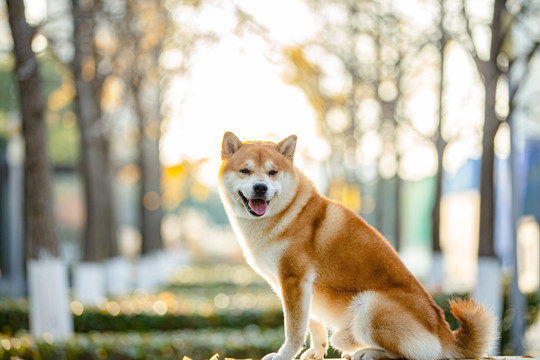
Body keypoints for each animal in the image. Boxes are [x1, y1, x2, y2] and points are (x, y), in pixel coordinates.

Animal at [217, 132, 496, 360]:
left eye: (272, 172)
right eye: (245, 171)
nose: (260, 187)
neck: (287, 213)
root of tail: (446, 336)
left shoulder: (294, 279)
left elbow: (294, 329)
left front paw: (284, 355)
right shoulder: (294, 285)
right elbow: (313, 324)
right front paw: (316, 353)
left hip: (370, 304)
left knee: (409, 355)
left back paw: (368, 352)